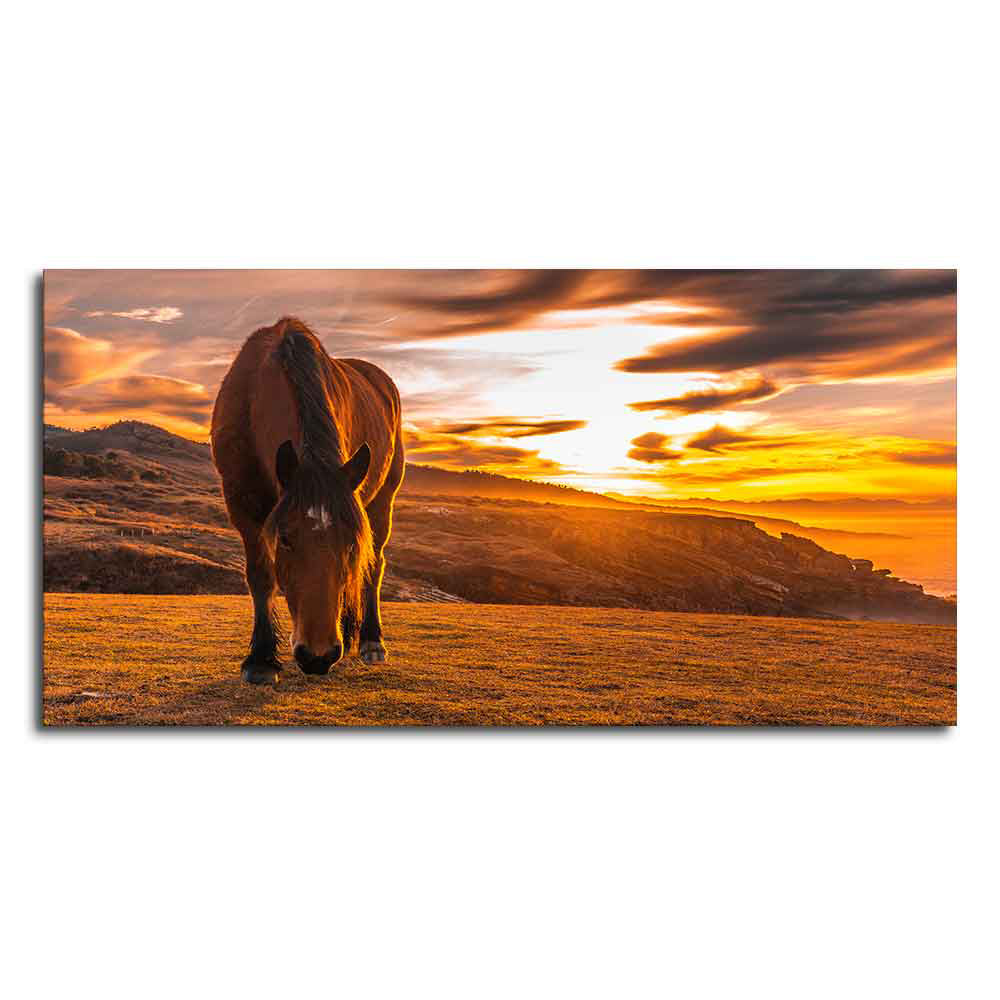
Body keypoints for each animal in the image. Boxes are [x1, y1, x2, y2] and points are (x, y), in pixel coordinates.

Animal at [211, 316, 404, 684]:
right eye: (285, 539)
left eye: (350, 543)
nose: (318, 657)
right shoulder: (242, 505)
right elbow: (260, 576)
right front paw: (260, 660)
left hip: (382, 501)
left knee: (375, 565)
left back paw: (370, 640)